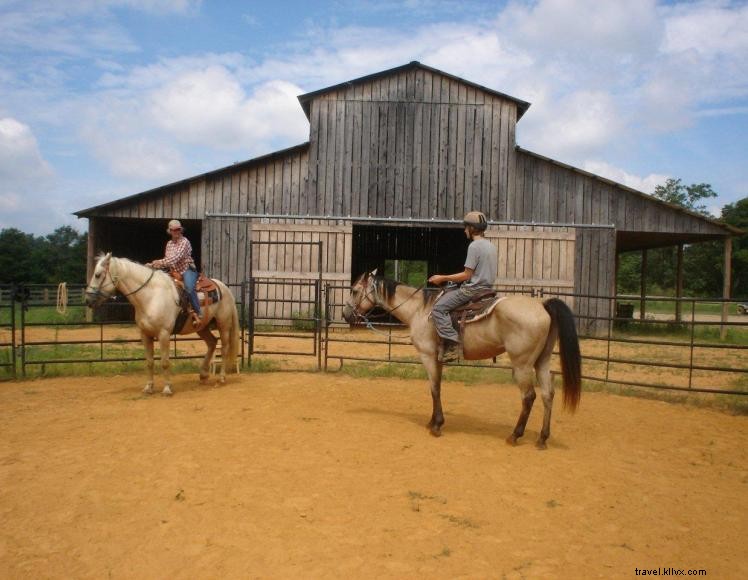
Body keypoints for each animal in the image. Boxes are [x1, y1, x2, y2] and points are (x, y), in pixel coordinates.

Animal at [87, 251, 240, 396]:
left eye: (97, 274)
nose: (88, 299)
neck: (150, 296)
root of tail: (224, 287)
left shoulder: (164, 334)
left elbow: (165, 362)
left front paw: (167, 388)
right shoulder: (145, 335)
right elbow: (149, 362)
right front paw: (148, 387)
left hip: (223, 324)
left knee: (224, 348)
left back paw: (221, 378)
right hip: (202, 327)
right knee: (212, 343)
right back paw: (203, 375)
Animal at [342, 272, 580, 448]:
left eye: (354, 290)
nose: (345, 315)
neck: (420, 310)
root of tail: (542, 305)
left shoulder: (428, 356)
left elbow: (434, 388)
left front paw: (437, 426)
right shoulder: (437, 359)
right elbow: (437, 388)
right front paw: (433, 421)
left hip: (522, 365)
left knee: (529, 396)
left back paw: (515, 435)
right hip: (542, 361)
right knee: (548, 394)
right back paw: (542, 438)